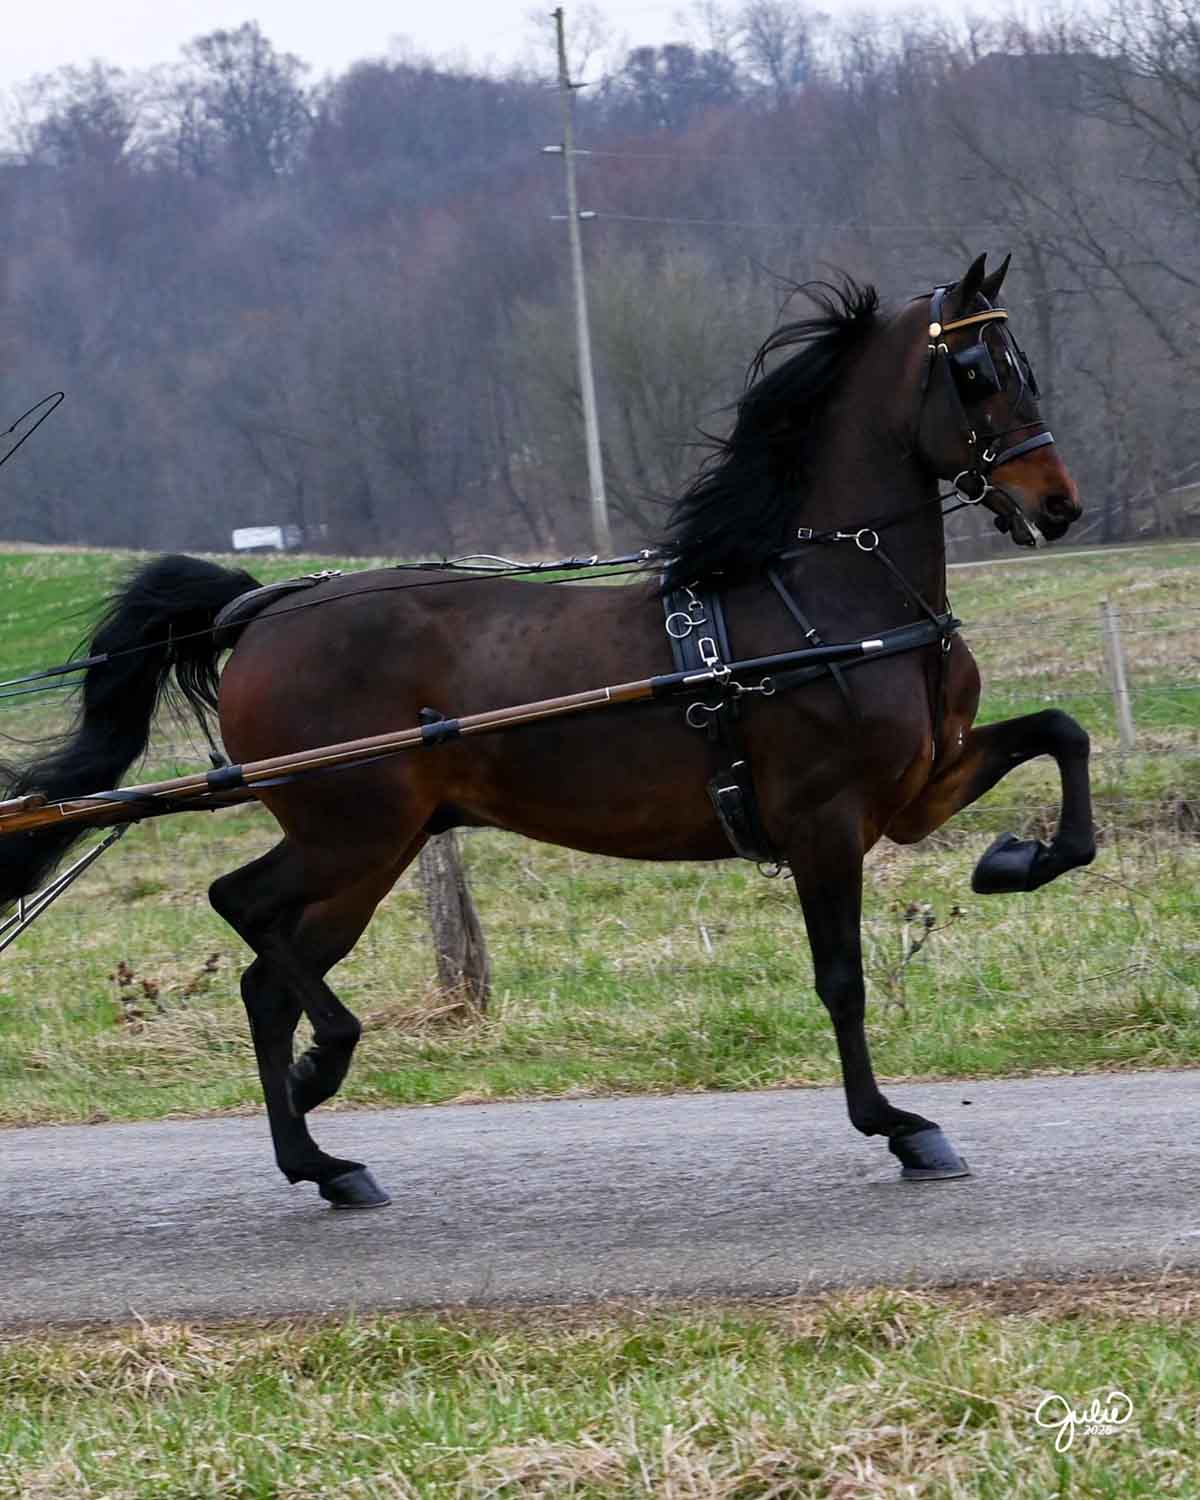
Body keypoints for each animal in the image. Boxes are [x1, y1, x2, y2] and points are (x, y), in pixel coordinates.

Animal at [0, 252, 1095, 1208]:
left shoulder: (918, 793)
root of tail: (264, 609)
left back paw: (322, 1157)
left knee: (268, 976)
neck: (825, 598)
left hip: (376, 850)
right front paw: (900, 1127)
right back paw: (328, 1063)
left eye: (1023, 365)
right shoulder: (825, 822)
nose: (1058, 505)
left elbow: (1063, 738)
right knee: (245, 910)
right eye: (976, 372)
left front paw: (1013, 859)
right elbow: (843, 980)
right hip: (347, 829)